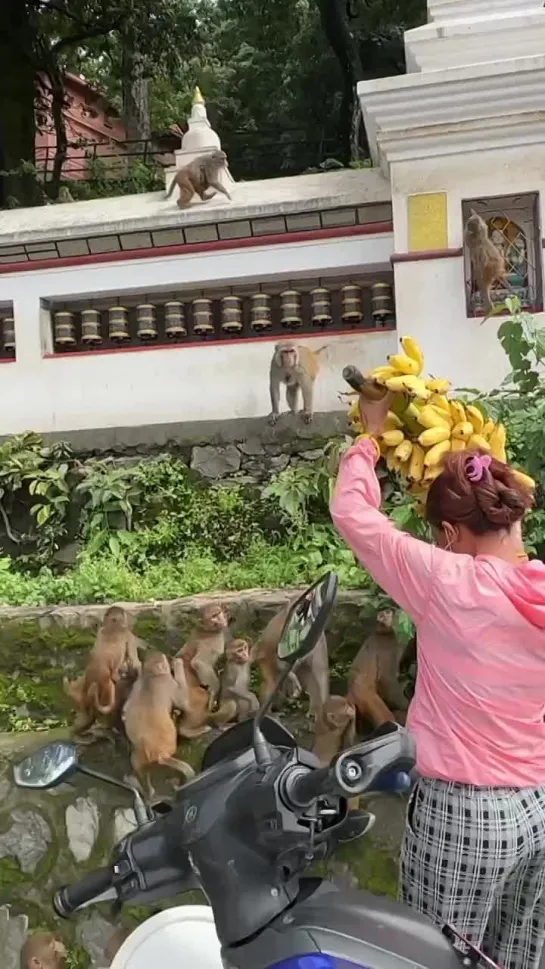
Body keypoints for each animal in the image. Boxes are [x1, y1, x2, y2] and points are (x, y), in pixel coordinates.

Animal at [63, 604, 140, 740]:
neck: (113, 624)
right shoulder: (128, 634)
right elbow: (134, 660)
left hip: (86, 694)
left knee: (87, 716)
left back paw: (76, 735)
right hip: (105, 690)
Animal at [121, 652, 196, 800]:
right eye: (164, 659)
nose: (167, 656)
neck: (151, 676)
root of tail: (160, 754)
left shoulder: (135, 687)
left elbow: (125, 710)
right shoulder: (168, 682)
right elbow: (183, 701)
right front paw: (178, 664)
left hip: (139, 758)